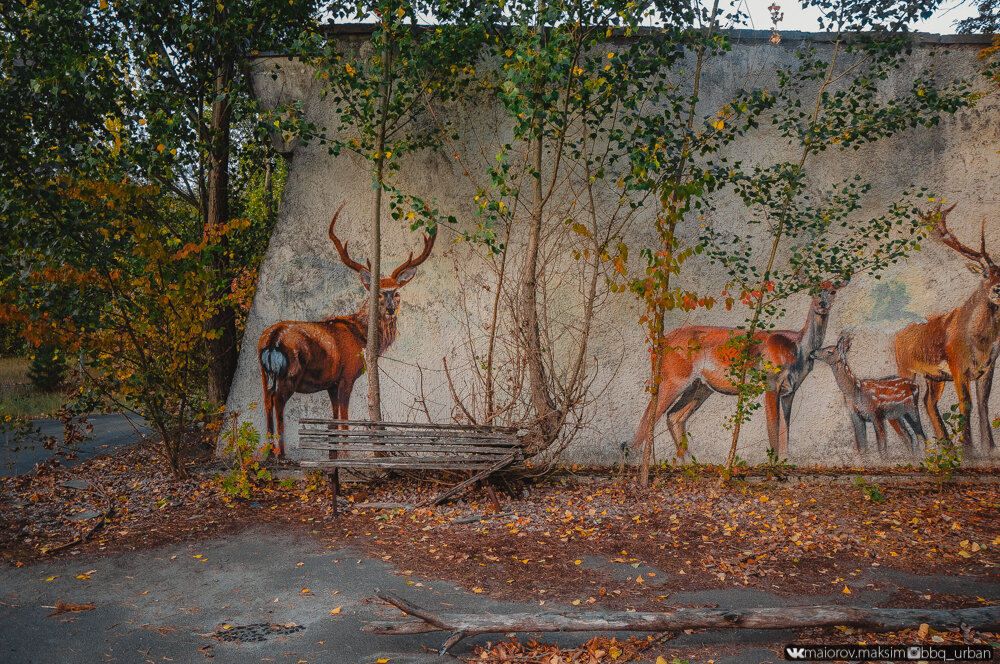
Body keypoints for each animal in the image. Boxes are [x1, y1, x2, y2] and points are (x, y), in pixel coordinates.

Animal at [258, 204, 434, 456]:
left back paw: (266, 451)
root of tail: (272, 339)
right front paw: (347, 453)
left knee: (265, 400)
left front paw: (335, 452)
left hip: (263, 373)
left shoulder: (331, 384)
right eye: (379, 294)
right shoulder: (346, 376)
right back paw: (280, 453)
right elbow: (345, 420)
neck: (361, 335)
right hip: (290, 372)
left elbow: (334, 421)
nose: (391, 309)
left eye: (397, 291)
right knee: (278, 401)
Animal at [632, 278, 844, 460]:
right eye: (814, 290)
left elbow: (786, 432)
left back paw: (691, 463)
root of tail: (660, 342)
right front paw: (772, 465)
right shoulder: (770, 382)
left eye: (833, 291)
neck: (797, 349)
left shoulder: (790, 390)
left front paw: (783, 463)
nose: (822, 304)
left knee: (674, 416)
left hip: (700, 386)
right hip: (674, 376)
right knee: (648, 418)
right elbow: (773, 428)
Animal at [892, 205, 1000, 448]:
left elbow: (983, 403)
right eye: (985, 273)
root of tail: (897, 336)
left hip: (934, 376)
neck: (980, 343)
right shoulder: (957, 364)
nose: (998, 289)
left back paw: (946, 445)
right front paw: (968, 448)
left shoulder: (989, 366)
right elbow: (966, 403)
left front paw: (988, 448)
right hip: (905, 368)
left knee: (928, 401)